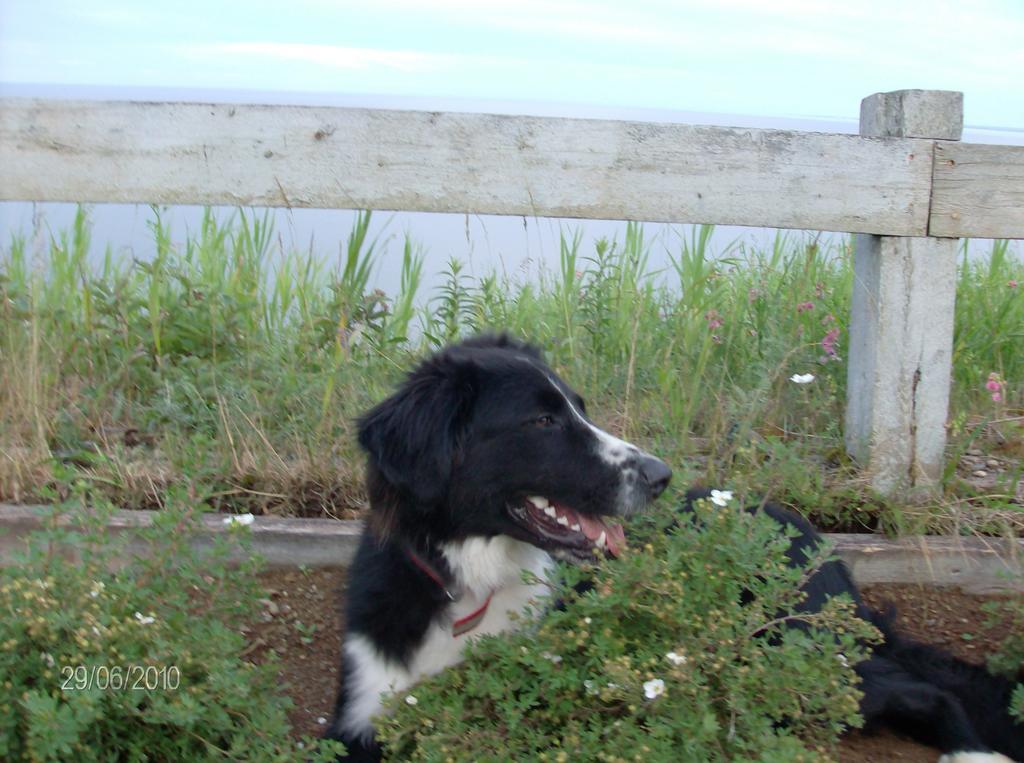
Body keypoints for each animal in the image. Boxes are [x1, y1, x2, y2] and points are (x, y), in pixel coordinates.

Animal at [327, 335, 1024, 761]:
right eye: (542, 420)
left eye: (579, 408)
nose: (659, 476)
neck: (472, 582)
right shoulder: (359, 715)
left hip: (787, 650)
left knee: (914, 688)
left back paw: (974, 751)